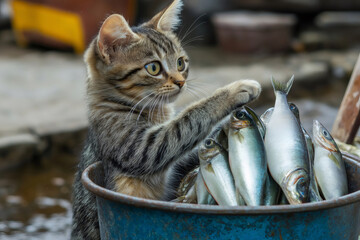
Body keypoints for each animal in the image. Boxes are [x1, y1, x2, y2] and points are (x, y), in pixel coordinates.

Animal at [70, 0, 262, 238]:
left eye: (181, 63)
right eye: (153, 68)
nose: (181, 82)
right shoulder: (139, 147)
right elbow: (189, 118)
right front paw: (234, 91)